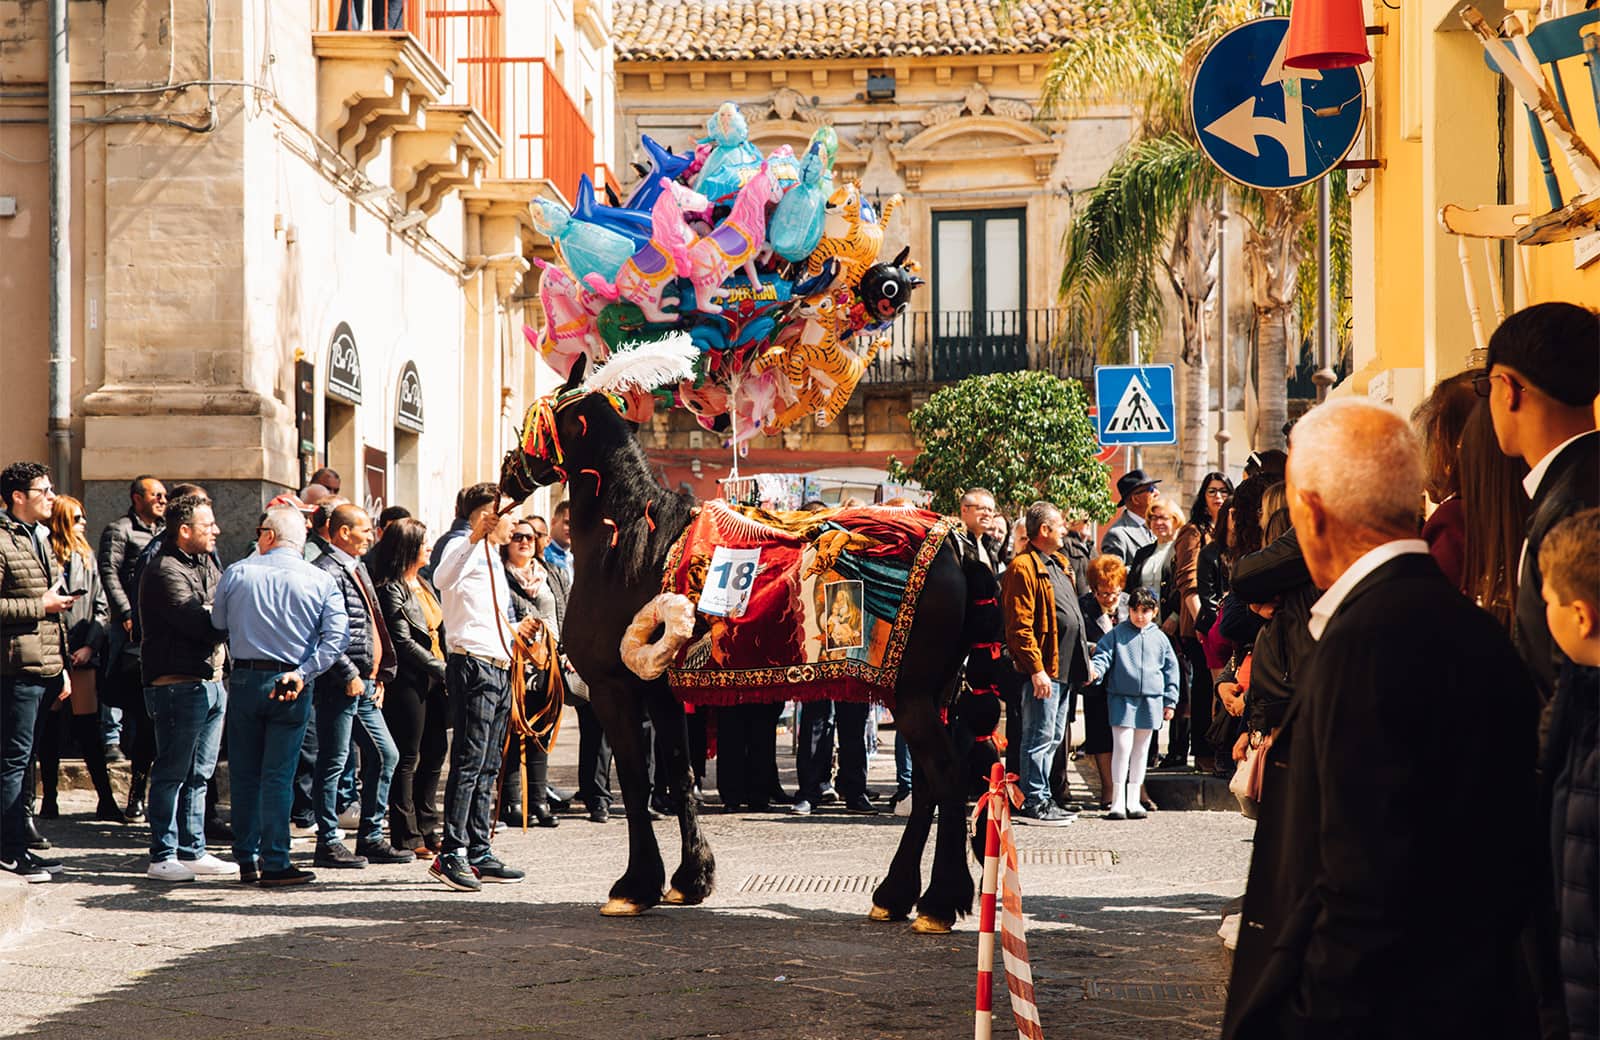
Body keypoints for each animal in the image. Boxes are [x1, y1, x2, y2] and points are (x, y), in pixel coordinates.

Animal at [499, 358, 998, 934]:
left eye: (536, 419)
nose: (507, 473)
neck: (627, 539)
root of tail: (959, 541)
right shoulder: (662, 694)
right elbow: (678, 771)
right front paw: (690, 878)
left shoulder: (615, 690)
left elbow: (635, 778)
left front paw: (634, 886)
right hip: (929, 695)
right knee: (931, 786)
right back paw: (898, 895)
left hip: (912, 696)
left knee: (945, 776)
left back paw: (936, 902)